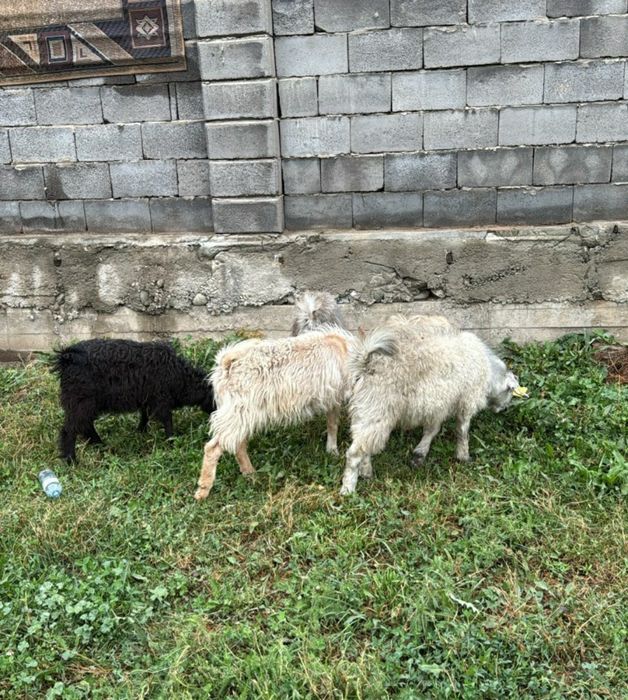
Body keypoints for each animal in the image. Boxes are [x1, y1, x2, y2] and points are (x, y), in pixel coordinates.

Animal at [52, 338, 215, 463]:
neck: (180, 377)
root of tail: (67, 357)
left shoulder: (148, 398)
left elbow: (145, 416)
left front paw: (140, 432)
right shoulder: (160, 398)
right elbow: (167, 421)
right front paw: (172, 443)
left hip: (84, 402)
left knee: (85, 425)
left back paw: (101, 446)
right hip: (80, 400)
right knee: (70, 429)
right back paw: (71, 461)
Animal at [340, 322, 519, 494]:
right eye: (510, 392)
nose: (502, 409)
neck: (489, 372)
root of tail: (366, 363)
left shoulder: (437, 406)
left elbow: (431, 430)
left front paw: (420, 452)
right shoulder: (466, 402)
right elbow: (462, 431)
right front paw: (463, 456)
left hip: (365, 412)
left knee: (364, 445)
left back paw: (366, 472)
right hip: (376, 410)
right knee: (354, 454)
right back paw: (348, 489)